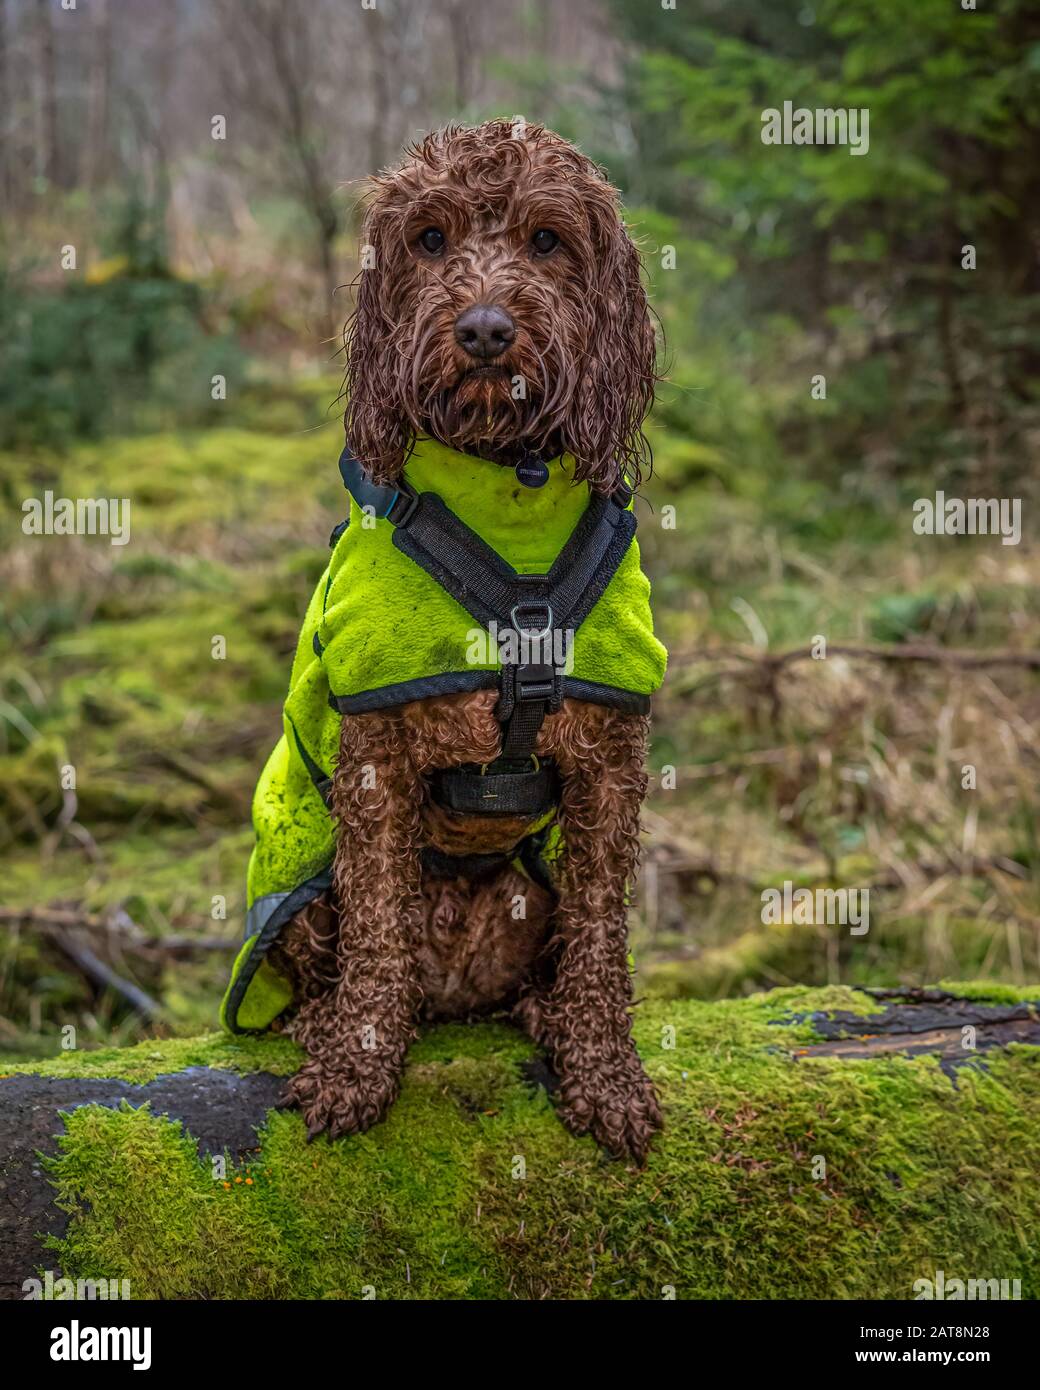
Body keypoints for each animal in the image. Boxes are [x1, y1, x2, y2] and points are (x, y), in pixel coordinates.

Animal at [268, 119, 659, 1162]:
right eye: (430, 239)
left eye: (547, 240)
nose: (484, 328)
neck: (500, 484)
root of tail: (451, 991)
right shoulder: (372, 763)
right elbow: (374, 934)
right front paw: (356, 1068)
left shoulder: (612, 762)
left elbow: (601, 935)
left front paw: (605, 1074)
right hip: (303, 903)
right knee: (342, 959)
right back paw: (330, 1023)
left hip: (530, 899)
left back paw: (543, 1014)